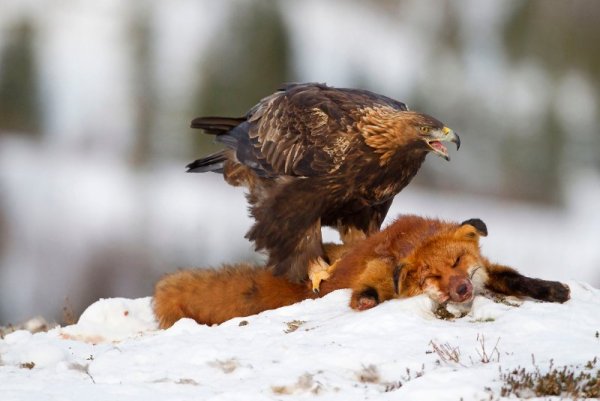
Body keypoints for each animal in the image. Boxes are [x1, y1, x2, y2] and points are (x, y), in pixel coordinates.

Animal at [152, 216, 568, 328]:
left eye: (455, 263)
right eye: (432, 277)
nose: (463, 291)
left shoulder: (486, 270)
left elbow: (515, 278)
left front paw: (552, 289)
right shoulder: (385, 263)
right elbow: (378, 281)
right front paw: (365, 299)